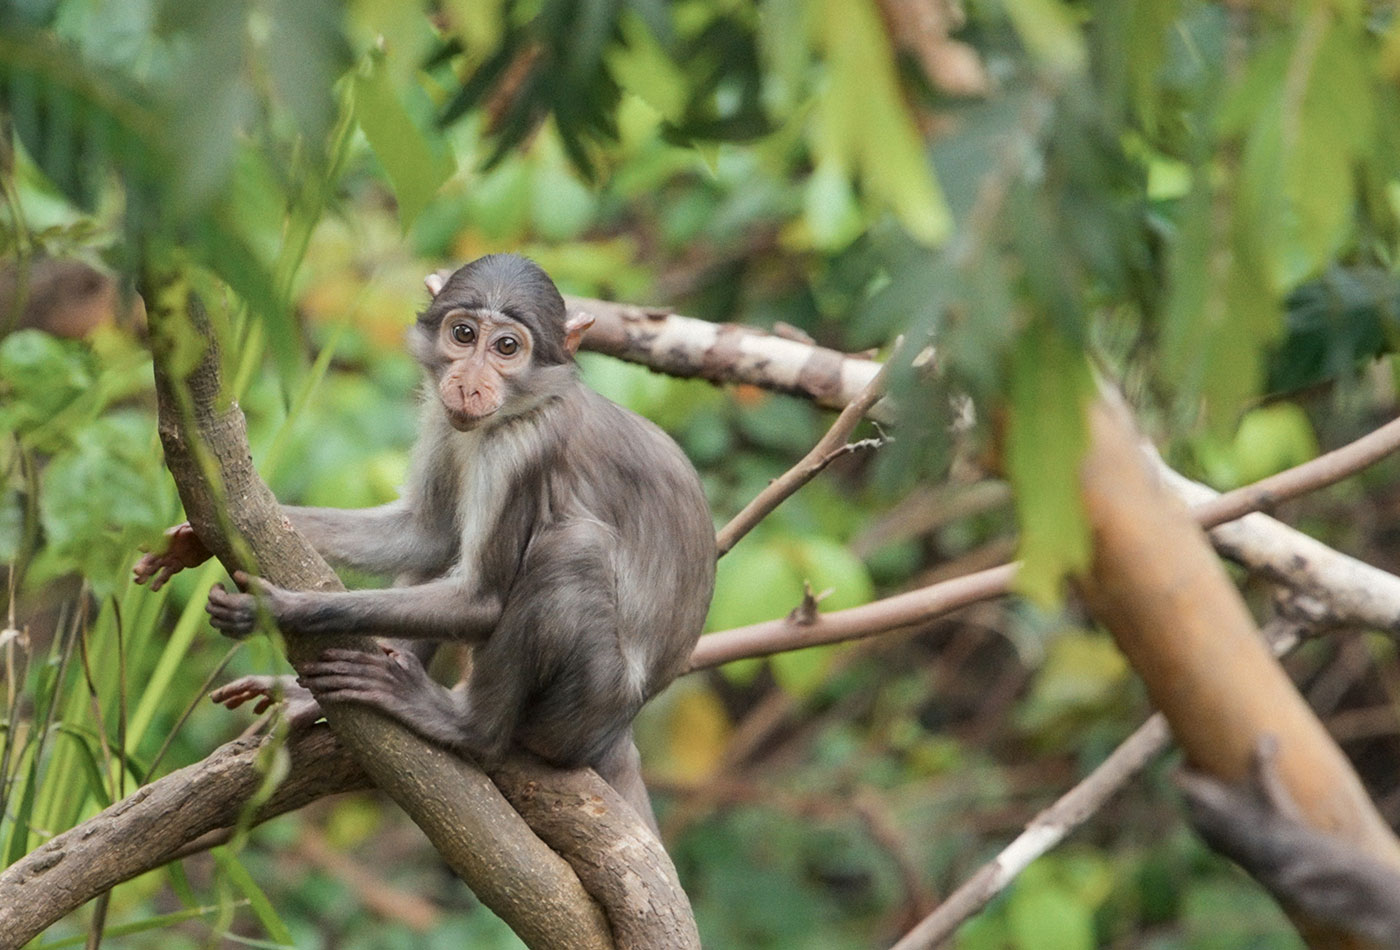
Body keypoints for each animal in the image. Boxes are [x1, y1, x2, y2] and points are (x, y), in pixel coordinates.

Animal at [136, 253, 716, 822]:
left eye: (507, 347)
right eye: (463, 334)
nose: (469, 382)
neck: (521, 406)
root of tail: (617, 731)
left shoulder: (521, 448)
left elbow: (481, 600)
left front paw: (275, 610)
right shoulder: (444, 417)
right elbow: (427, 535)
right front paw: (193, 540)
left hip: (582, 708)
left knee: (571, 549)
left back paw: (468, 725)